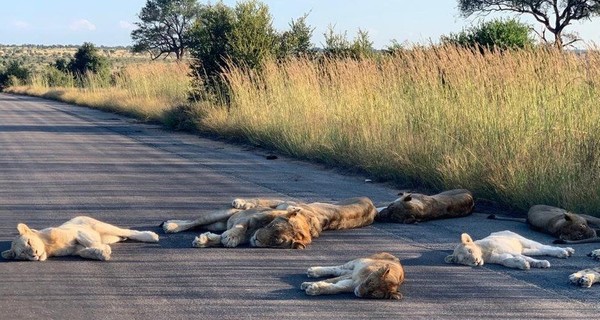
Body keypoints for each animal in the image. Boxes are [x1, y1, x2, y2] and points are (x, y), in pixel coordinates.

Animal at [1, 216, 159, 262]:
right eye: (23, 253)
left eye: (28, 242)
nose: (34, 254)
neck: (48, 247)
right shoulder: (75, 250)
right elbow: (84, 252)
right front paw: (101, 253)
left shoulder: (77, 231)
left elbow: (88, 241)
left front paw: (103, 250)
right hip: (109, 237)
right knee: (120, 236)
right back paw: (123, 239)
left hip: (100, 226)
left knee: (128, 231)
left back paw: (151, 236)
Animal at [442, 230, 576, 270]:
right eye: (465, 259)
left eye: (469, 251)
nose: (475, 261)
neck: (484, 254)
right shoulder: (501, 258)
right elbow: (508, 261)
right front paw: (523, 264)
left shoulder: (507, 250)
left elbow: (526, 258)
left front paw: (541, 263)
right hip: (526, 249)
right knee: (541, 251)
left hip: (524, 241)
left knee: (545, 247)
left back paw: (565, 251)